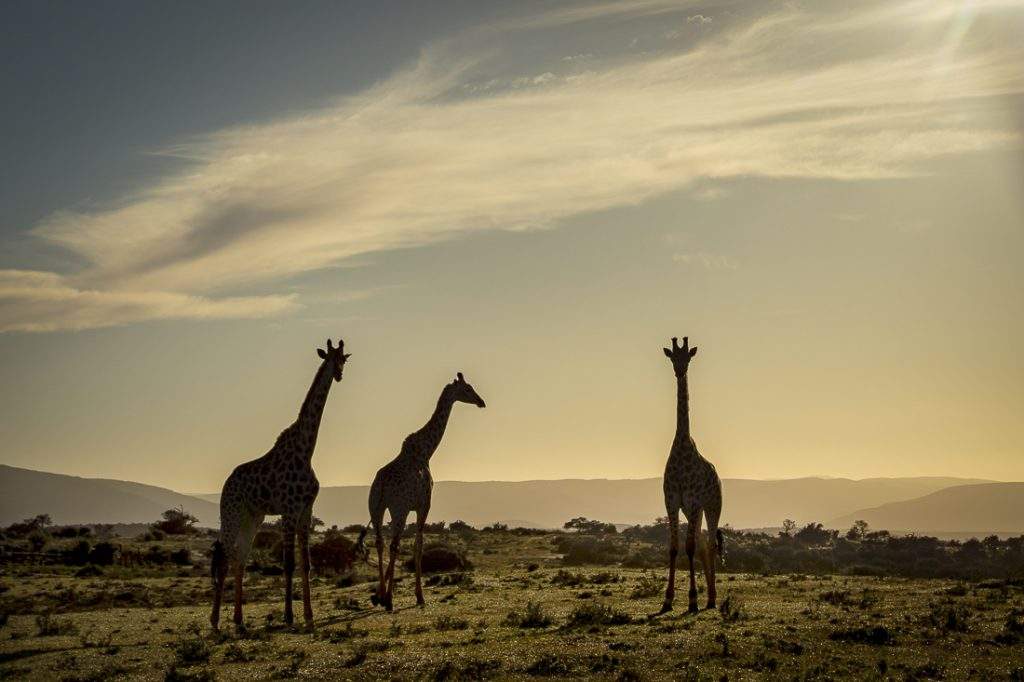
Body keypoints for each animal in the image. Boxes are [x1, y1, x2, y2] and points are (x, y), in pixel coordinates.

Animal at [210, 338, 351, 630]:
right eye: (331, 357)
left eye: (344, 358)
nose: (339, 374)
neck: (306, 450)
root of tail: (226, 484)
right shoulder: (288, 510)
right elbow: (288, 564)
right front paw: (288, 616)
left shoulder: (306, 510)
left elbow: (306, 564)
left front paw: (308, 616)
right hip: (231, 512)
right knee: (224, 556)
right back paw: (215, 621)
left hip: (253, 516)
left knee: (240, 558)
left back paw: (239, 621)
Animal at [359, 372, 486, 611]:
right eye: (468, 389)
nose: (481, 402)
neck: (426, 451)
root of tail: (381, 484)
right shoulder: (423, 505)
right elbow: (419, 545)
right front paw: (419, 596)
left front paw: (377, 595)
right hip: (398, 509)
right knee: (393, 545)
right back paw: (390, 601)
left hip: (375, 507)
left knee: (380, 543)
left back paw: (383, 596)